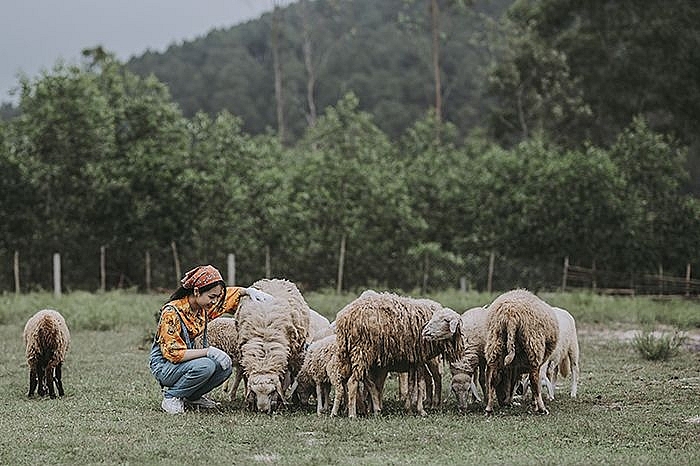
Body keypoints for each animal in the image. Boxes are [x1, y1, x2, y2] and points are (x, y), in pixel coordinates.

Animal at [237, 276, 310, 412]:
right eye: (255, 393)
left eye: (271, 392)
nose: (263, 410)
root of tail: (273, 279)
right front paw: (250, 403)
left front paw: (279, 402)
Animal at [330, 290, 462, 416]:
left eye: (445, 320)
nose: (425, 331)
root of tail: (344, 319)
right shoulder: (419, 357)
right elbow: (420, 384)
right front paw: (420, 410)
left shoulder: (413, 359)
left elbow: (411, 383)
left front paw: (409, 408)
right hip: (362, 351)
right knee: (353, 382)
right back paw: (353, 413)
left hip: (347, 354)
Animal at [484, 288, 560, 416]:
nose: (502, 402)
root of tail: (510, 315)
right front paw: (534, 404)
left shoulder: (514, 367)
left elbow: (512, 383)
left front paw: (509, 400)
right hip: (533, 346)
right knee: (534, 380)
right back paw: (542, 408)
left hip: (495, 344)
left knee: (492, 379)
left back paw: (489, 408)